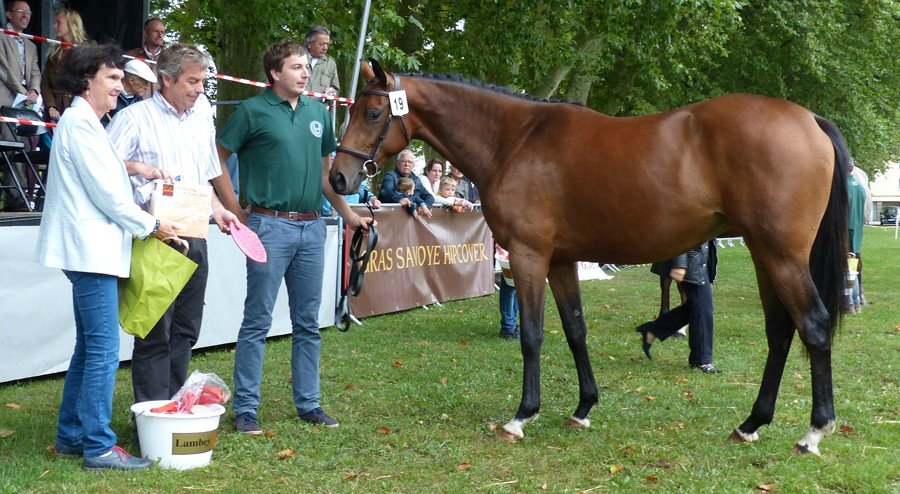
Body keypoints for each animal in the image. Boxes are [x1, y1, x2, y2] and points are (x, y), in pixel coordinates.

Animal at [330, 61, 848, 455]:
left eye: (373, 112)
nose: (337, 178)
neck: (517, 139)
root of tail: (810, 119)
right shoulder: (561, 261)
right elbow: (576, 330)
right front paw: (583, 408)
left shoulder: (529, 255)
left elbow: (533, 336)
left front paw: (522, 416)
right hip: (765, 256)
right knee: (781, 333)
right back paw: (751, 423)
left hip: (782, 256)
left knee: (814, 325)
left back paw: (813, 432)